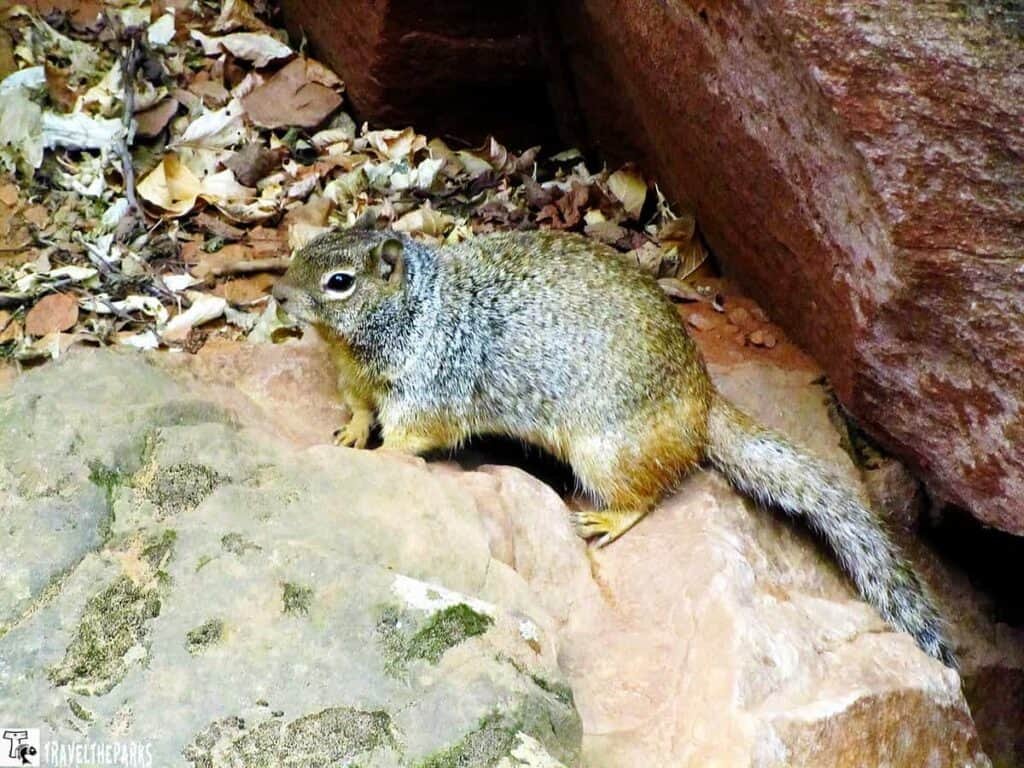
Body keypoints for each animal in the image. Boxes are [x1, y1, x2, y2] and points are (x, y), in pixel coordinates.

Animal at [272, 226, 955, 668]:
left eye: (339, 282)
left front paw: (378, 455)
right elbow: (360, 410)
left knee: (649, 493)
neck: (410, 313)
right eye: (301, 251)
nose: (277, 296)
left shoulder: (430, 390)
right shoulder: (358, 381)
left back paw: (607, 519)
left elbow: (412, 437)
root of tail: (703, 398)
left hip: (605, 454)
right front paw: (350, 433)